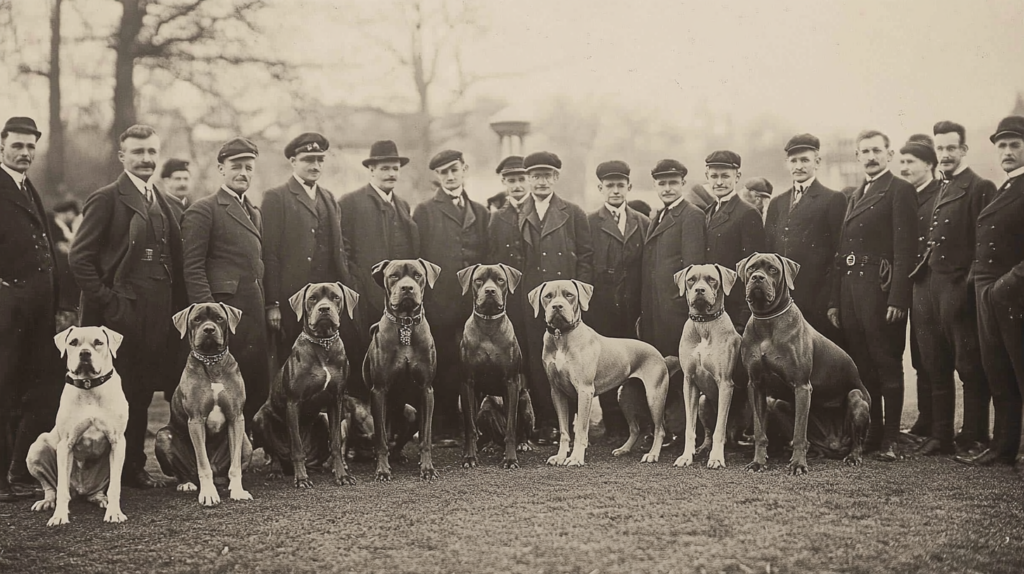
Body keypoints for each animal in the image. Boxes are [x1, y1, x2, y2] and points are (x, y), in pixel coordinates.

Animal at [253, 280, 362, 484]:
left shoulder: (336, 401)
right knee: (275, 452)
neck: (323, 344)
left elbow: (335, 443)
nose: (324, 308)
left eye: (336, 297)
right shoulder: (293, 402)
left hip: (323, 418)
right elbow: (296, 446)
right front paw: (301, 478)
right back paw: (278, 470)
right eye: (312, 298)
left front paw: (342, 475)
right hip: (259, 419)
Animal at [364, 258, 440, 478]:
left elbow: (426, 436)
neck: (405, 324)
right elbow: (381, 439)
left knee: (399, 443)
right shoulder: (379, 391)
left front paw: (427, 468)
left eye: (418, 275)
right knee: (385, 438)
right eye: (394, 276)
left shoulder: (426, 390)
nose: (407, 288)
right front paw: (382, 470)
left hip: (412, 414)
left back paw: (400, 456)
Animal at [458, 263, 536, 470]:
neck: (488, 325)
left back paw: (522, 444)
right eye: (478, 280)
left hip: (525, 402)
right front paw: (470, 457)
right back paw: (491, 446)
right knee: (490, 431)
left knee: (517, 431)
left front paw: (510, 459)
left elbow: (511, 426)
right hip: (485, 408)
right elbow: (469, 426)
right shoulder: (467, 383)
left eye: (500, 279)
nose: (490, 291)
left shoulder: (511, 382)